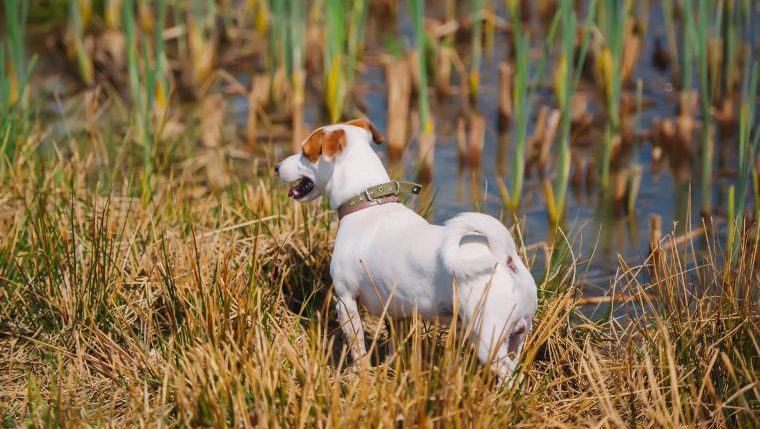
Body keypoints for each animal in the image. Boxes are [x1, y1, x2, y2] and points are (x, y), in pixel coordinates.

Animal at [276, 118, 536, 380]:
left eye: (305, 153)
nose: (276, 167)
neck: (367, 204)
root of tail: (505, 255)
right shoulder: (398, 311)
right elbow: (396, 347)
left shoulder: (346, 300)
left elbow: (358, 346)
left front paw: (359, 374)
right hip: (516, 335)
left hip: (487, 339)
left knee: (511, 374)